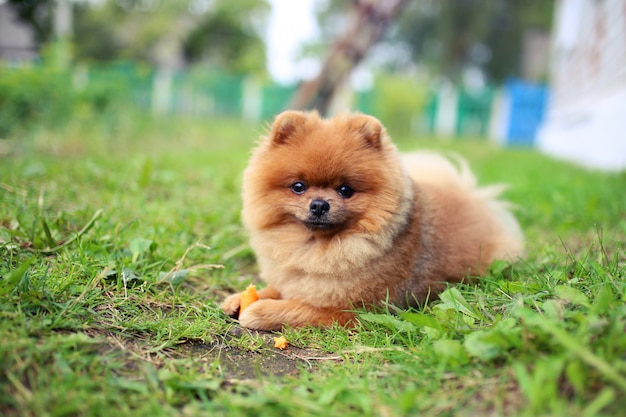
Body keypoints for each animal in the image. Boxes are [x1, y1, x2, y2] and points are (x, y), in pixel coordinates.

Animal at [222, 109, 524, 328]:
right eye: (298, 186)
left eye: (345, 190)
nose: (319, 204)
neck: (317, 248)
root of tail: (473, 197)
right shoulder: (294, 281)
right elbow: (275, 289)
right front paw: (239, 298)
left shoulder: (353, 310)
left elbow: (298, 309)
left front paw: (260, 311)